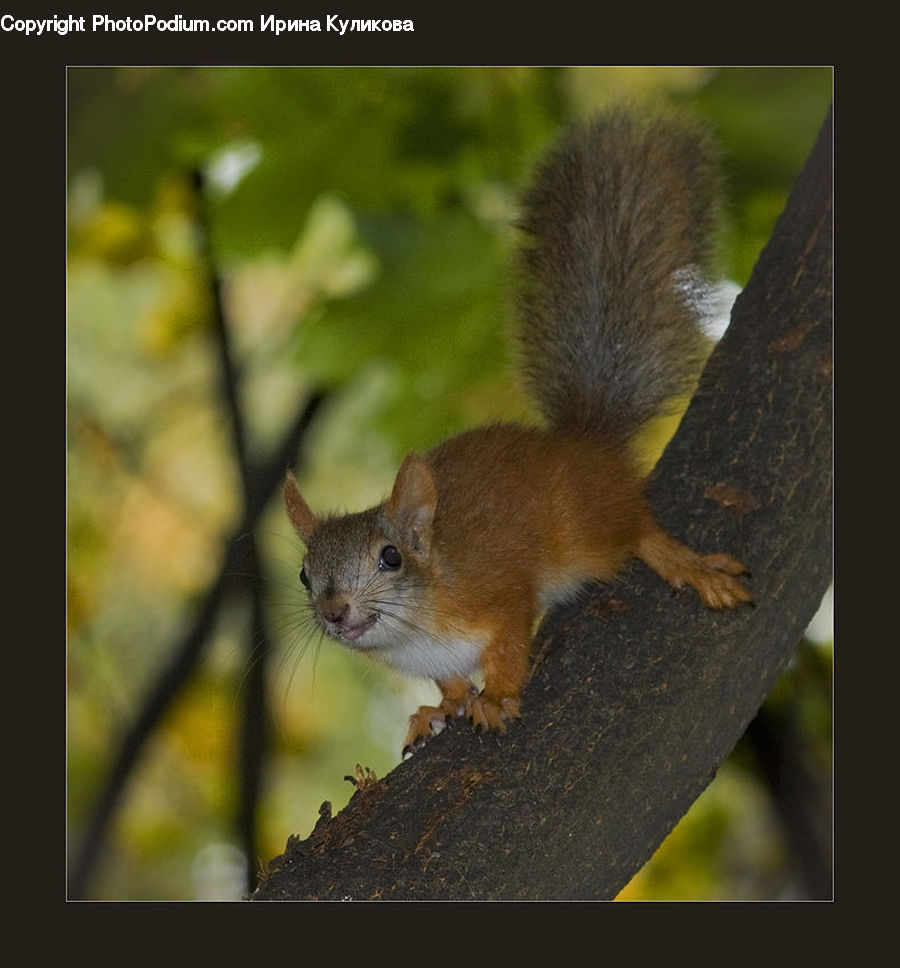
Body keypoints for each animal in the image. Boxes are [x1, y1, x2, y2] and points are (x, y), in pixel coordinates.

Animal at [283, 107, 753, 757]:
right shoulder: (434, 660)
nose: (333, 611)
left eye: (390, 558)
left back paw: (688, 565)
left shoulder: (499, 596)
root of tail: (583, 443)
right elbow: (450, 682)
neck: (413, 629)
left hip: (590, 527)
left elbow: (507, 646)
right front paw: (439, 709)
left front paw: (497, 698)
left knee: (638, 530)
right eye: (304, 573)